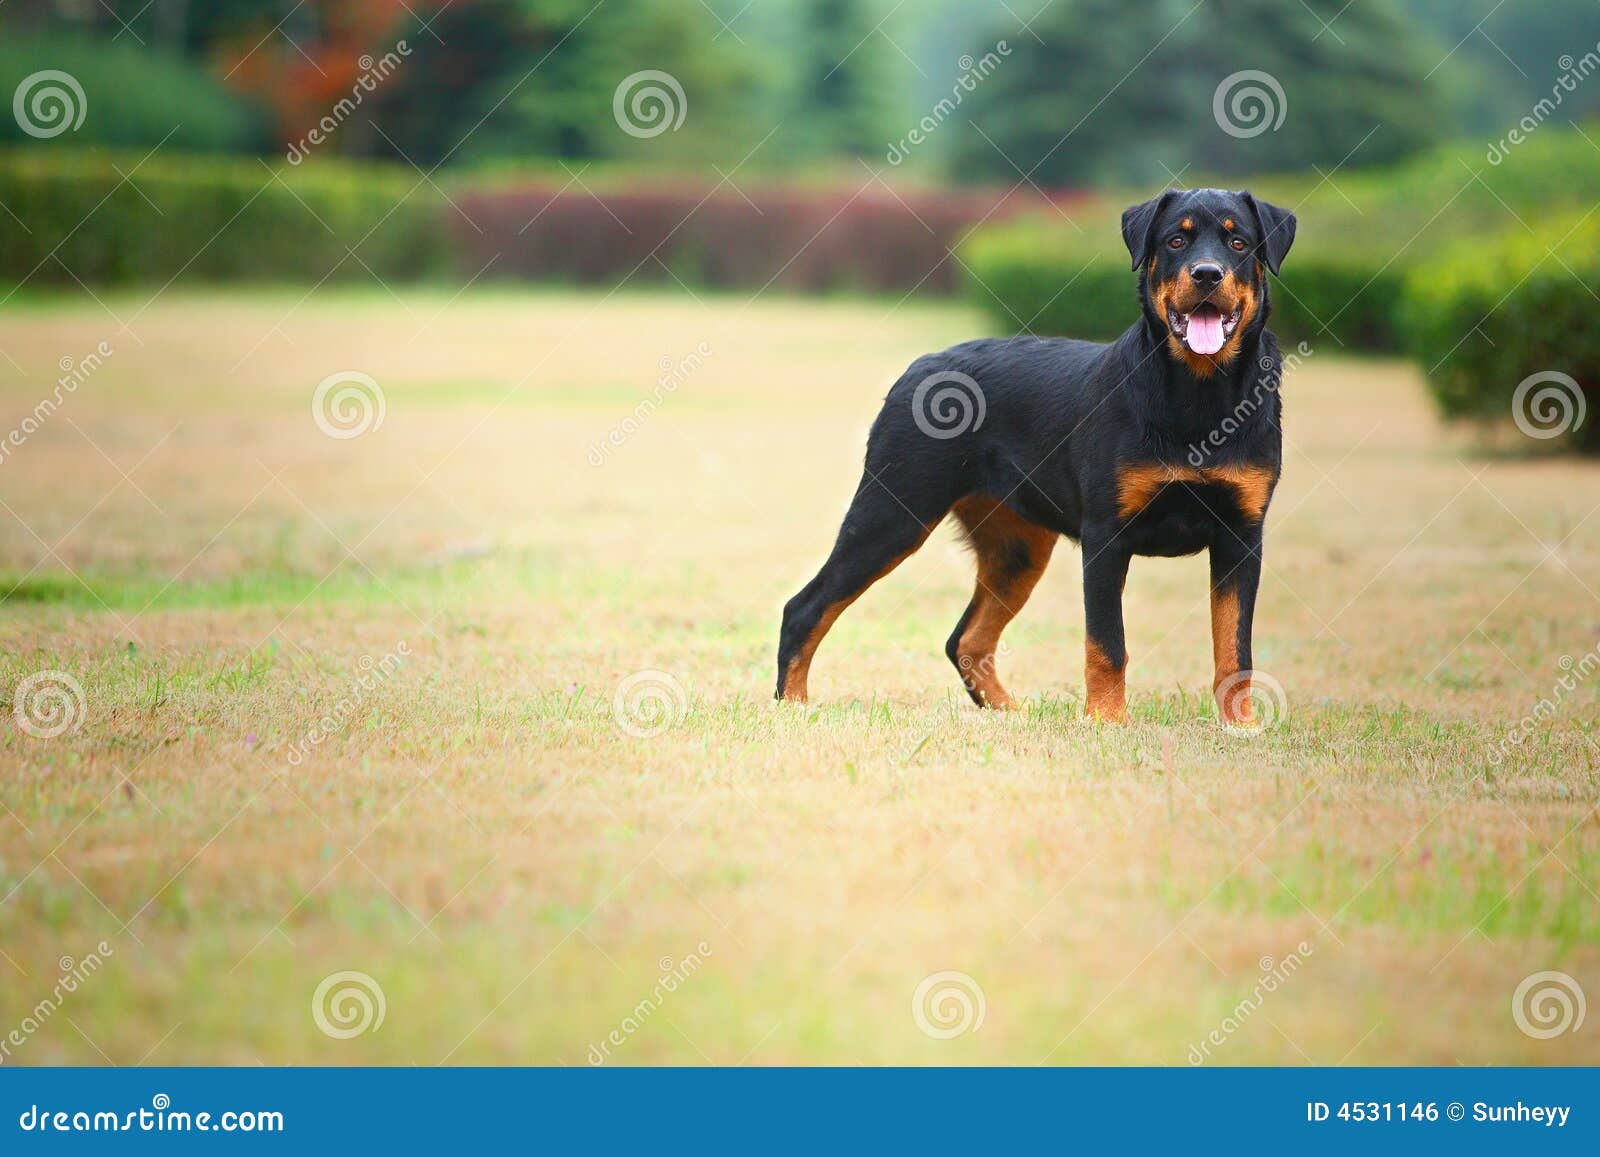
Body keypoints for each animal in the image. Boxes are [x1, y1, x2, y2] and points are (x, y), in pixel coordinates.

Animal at [777, 190, 1299, 729]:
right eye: (1176, 239)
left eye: (1238, 242)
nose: (1207, 274)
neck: (1200, 394)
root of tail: (921, 365)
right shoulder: (1106, 537)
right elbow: (1106, 644)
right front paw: (1107, 722)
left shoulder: (1241, 536)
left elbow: (1234, 648)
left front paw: (1241, 726)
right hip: (893, 513)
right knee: (805, 607)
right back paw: (793, 704)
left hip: (1017, 547)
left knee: (966, 639)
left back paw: (1009, 713)